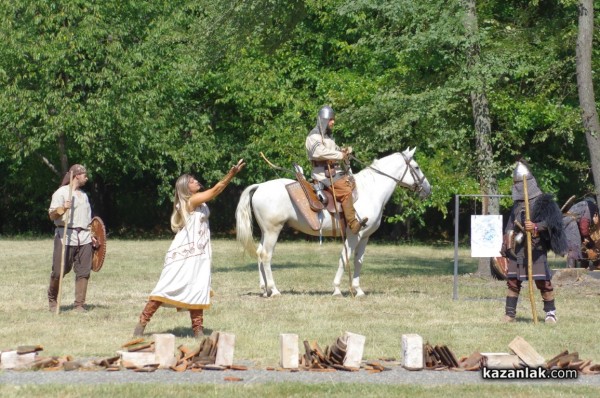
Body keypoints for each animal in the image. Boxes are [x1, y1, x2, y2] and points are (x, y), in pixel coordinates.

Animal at [236, 148, 432, 296]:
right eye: (416, 167)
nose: (428, 189)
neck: (370, 191)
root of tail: (260, 186)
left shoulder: (365, 237)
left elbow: (358, 261)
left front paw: (358, 290)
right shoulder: (354, 235)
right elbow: (344, 259)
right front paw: (337, 289)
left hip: (266, 232)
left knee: (259, 254)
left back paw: (264, 290)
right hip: (273, 231)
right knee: (266, 255)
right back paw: (274, 290)